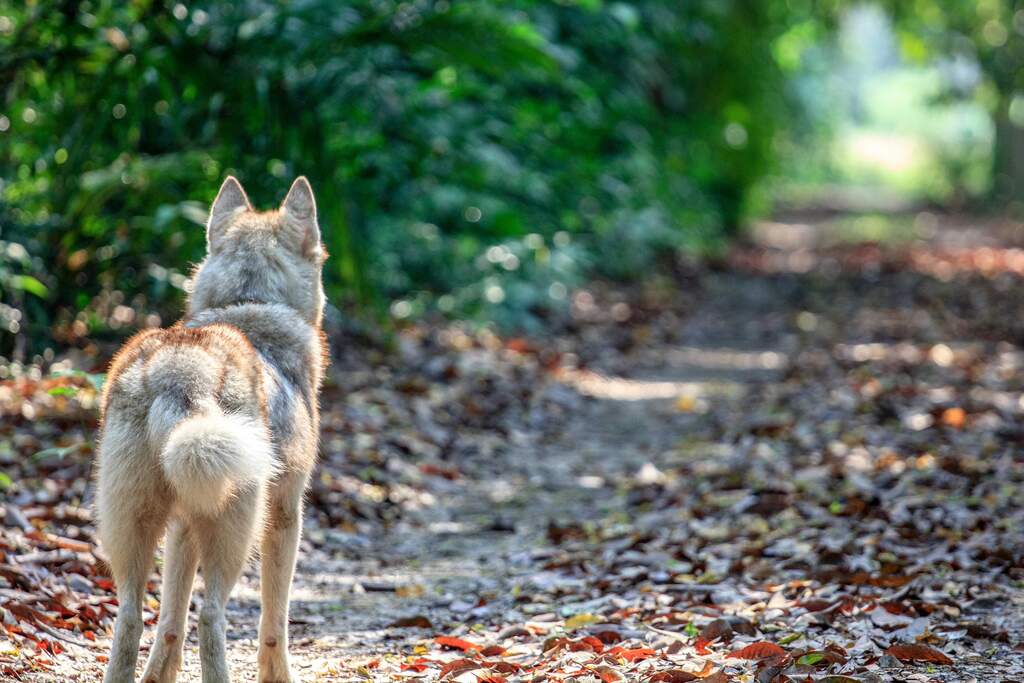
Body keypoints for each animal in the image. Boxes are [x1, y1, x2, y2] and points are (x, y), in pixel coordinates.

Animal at [96, 178, 327, 683]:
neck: (250, 304)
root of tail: (182, 375)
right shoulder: (286, 516)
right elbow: (274, 624)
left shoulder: (184, 524)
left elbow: (169, 623)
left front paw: (158, 676)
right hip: (238, 532)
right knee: (211, 615)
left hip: (133, 527)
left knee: (131, 615)